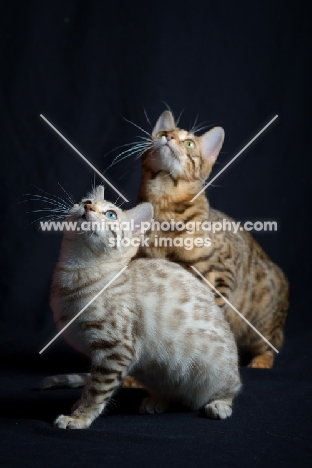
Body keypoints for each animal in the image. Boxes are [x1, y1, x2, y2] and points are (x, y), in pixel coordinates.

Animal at [130, 109, 288, 370]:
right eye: (162, 133)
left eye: (189, 143)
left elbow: (207, 323)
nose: (169, 137)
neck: (163, 208)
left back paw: (261, 360)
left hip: (264, 314)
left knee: (271, 344)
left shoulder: (219, 276)